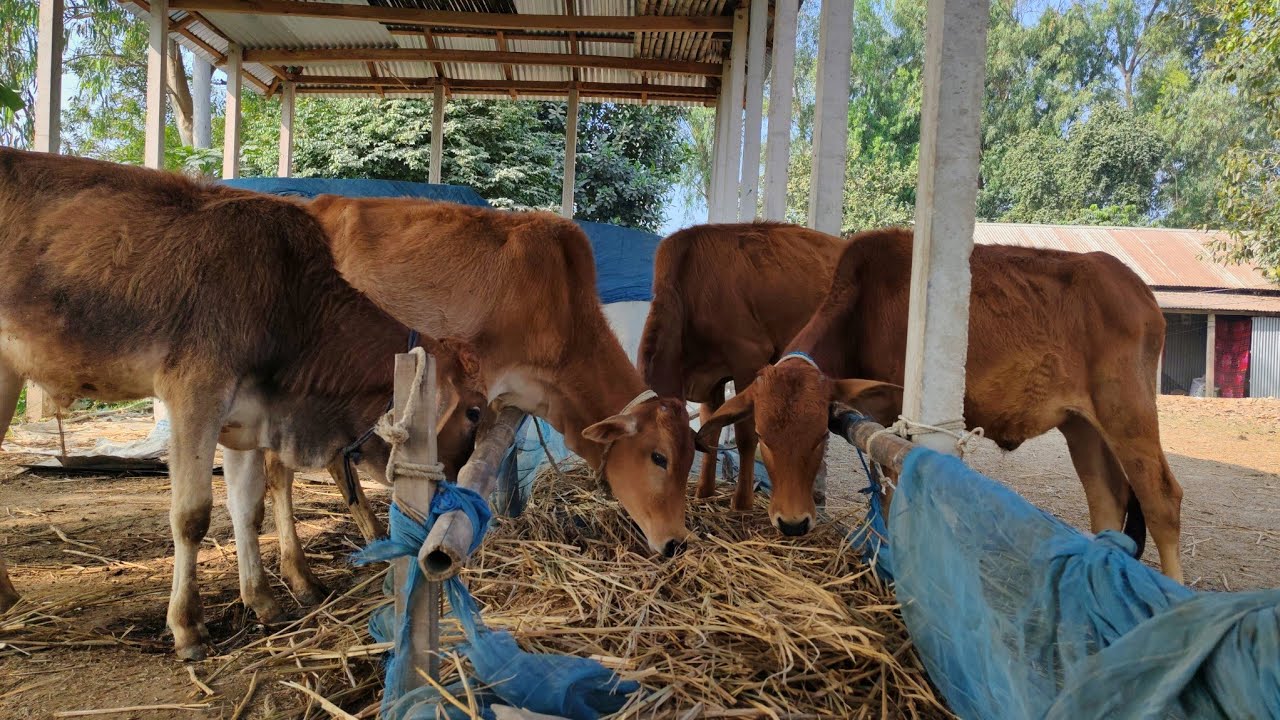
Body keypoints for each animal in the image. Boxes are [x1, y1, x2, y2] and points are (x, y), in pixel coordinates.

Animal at [0, 148, 478, 656]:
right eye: (473, 411)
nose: (456, 488)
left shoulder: (244, 420)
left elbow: (248, 509)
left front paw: (263, 600)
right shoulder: (196, 394)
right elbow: (192, 515)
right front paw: (188, 626)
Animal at [638, 222, 847, 510]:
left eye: (657, 457)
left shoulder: (749, 358)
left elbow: (746, 434)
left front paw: (742, 503)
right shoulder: (711, 376)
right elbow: (710, 428)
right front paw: (703, 492)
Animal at [697, 227, 1184, 581]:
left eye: (819, 437)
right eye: (763, 435)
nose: (793, 523)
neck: (862, 305)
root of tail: (1138, 289)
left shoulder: (893, 417)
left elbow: (890, 495)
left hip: (1129, 412)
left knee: (1162, 499)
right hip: (1082, 425)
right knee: (1108, 501)